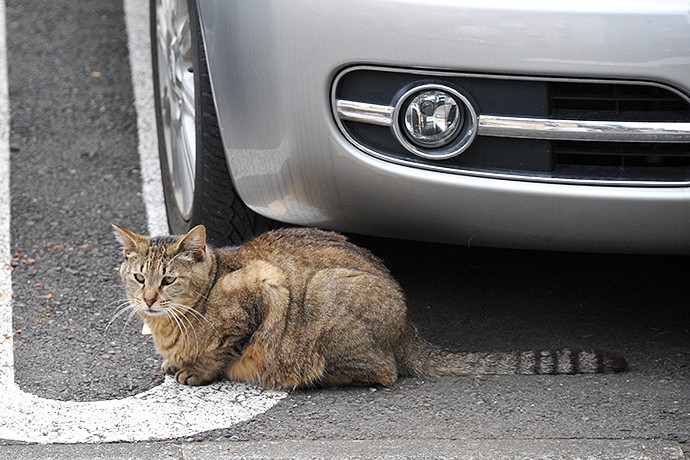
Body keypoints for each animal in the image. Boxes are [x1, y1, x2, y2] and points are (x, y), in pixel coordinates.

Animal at [111, 225, 624, 390]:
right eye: (139, 278)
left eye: (169, 280)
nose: (149, 299)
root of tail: (409, 328)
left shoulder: (265, 290)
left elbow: (225, 348)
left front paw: (197, 370)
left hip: (326, 299)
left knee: (384, 372)